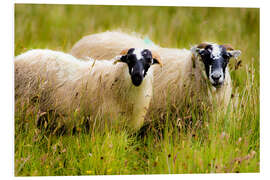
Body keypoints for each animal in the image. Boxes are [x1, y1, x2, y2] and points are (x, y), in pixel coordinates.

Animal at [14, 48, 161, 131]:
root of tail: (18, 59)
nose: (137, 76)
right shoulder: (105, 122)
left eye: (149, 61)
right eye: (129, 59)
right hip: (26, 106)